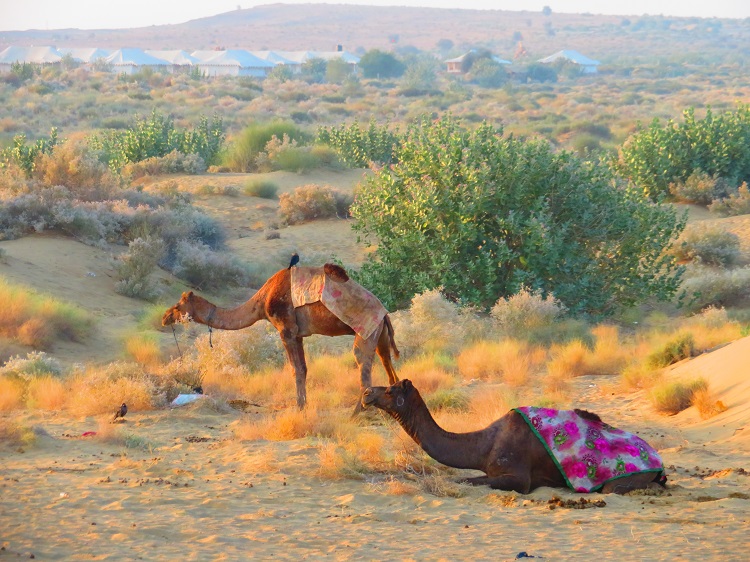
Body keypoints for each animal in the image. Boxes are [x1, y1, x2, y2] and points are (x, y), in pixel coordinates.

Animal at [162, 264, 399, 409]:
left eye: (177, 306)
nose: (164, 317)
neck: (261, 301)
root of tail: (384, 313)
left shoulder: (286, 329)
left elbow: (296, 369)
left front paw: (299, 407)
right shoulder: (299, 334)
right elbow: (303, 368)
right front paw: (304, 405)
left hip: (366, 331)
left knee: (363, 367)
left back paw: (360, 413)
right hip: (380, 334)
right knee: (388, 365)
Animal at [362, 380, 666, 494]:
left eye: (389, 390)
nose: (366, 393)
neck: (484, 445)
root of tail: (658, 460)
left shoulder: (518, 478)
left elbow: (475, 481)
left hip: (618, 482)